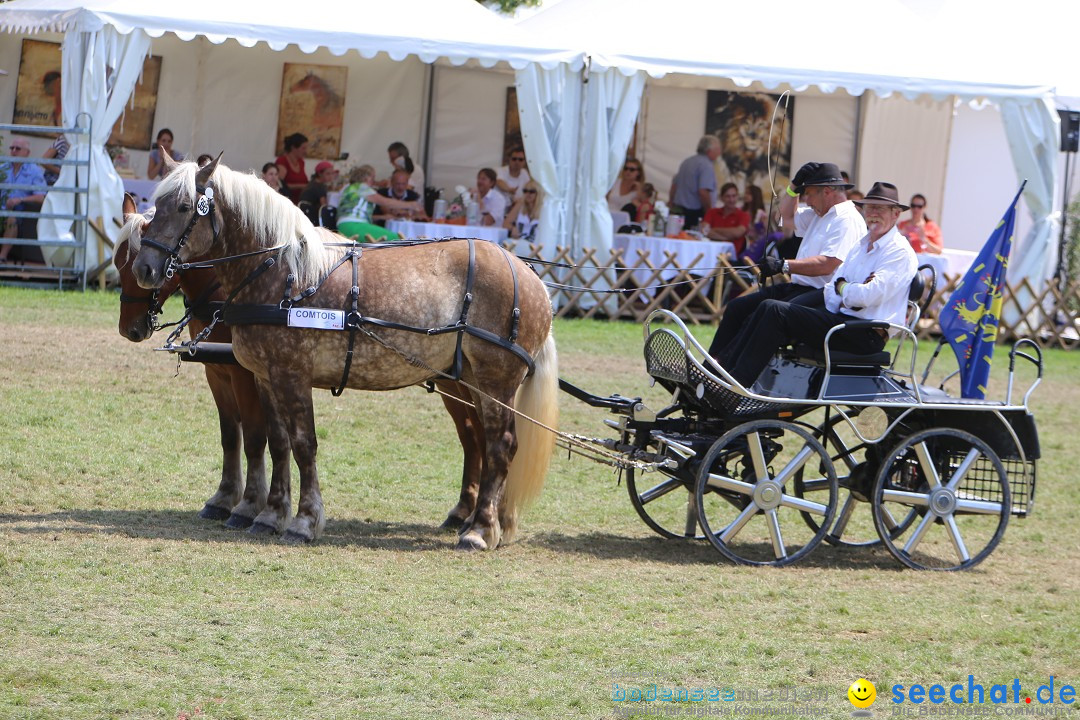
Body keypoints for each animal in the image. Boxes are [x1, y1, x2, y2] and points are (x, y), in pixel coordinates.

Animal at [130, 158, 561, 552]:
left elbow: (304, 444)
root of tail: (528, 275)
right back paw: (486, 522)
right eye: (156, 205)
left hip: (495, 380)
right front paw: (270, 514)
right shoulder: (266, 377)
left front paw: (305, 521)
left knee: (501, 445)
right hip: (470, 380)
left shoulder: (293, 375)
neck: (284, 275)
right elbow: (278, 443)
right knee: (486, 443)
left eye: (184, 207)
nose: (145, 269)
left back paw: (481, 530)